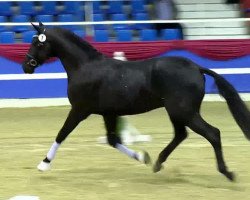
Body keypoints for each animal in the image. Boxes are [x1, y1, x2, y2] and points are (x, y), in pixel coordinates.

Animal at [22, 22, 250, 182]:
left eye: (38, 42)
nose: (26, 66)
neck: (86, 67)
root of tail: (196, 67)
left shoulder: (80, 110)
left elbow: (62, 134)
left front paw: (44, 164)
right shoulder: (109, 113)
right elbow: (113, 141)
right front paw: (143, 157)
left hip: (184, 111)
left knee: (212, 134)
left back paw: (227, 173)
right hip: (177, 112)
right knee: (181, 134)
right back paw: (157, 163)